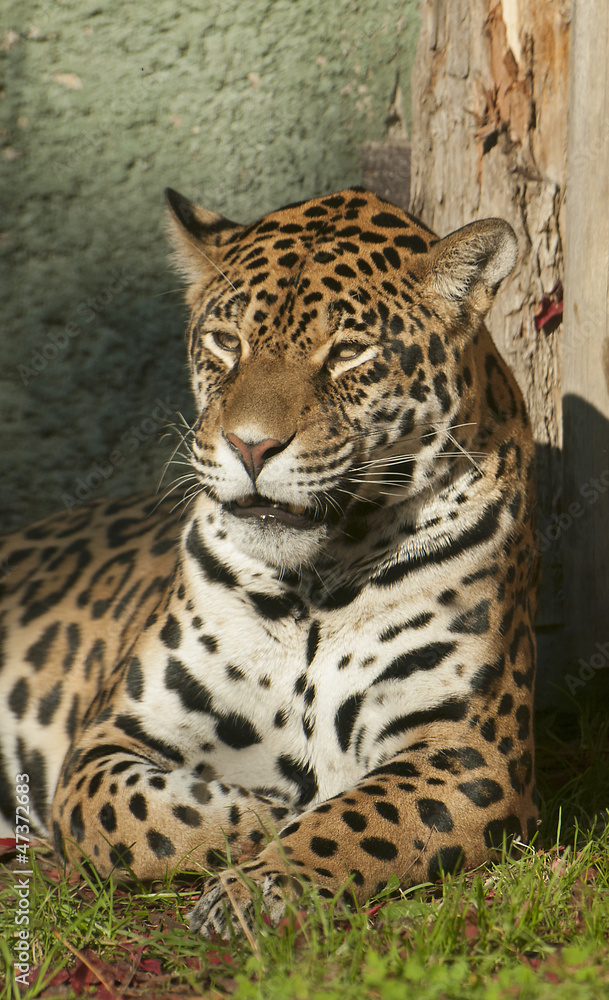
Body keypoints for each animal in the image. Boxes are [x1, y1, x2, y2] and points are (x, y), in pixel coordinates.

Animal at [0, 186, 538, 938]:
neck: (315, 585)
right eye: (227, 342)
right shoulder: (110, 741)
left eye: (349, 353)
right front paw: (267, 815)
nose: (250, 446)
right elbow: (150, 814)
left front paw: (255, 888)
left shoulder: (470, 751)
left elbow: (352, 821)